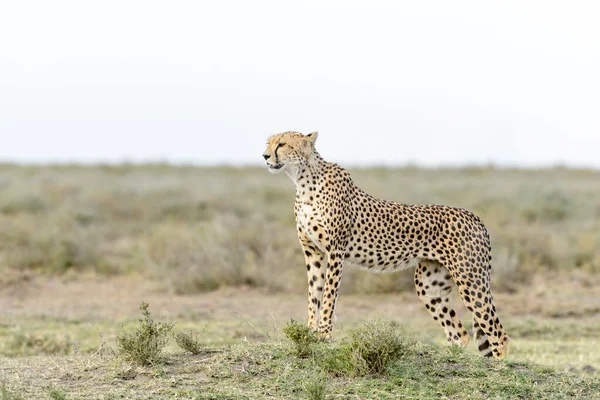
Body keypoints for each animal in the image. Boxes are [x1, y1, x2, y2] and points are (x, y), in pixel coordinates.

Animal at [262, 131, 510, 360]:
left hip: (470, 279)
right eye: (269, 142)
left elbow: (329, 296)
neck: (304, 181)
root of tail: (474, 216)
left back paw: (498, 366)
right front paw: (310, 333)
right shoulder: (312, 252)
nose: (265, 156)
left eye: (282, 144)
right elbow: (314, 294)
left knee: (498, 333)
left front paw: (323, 335)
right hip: (429, 284)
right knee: (460, 333)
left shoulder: (335, 251)